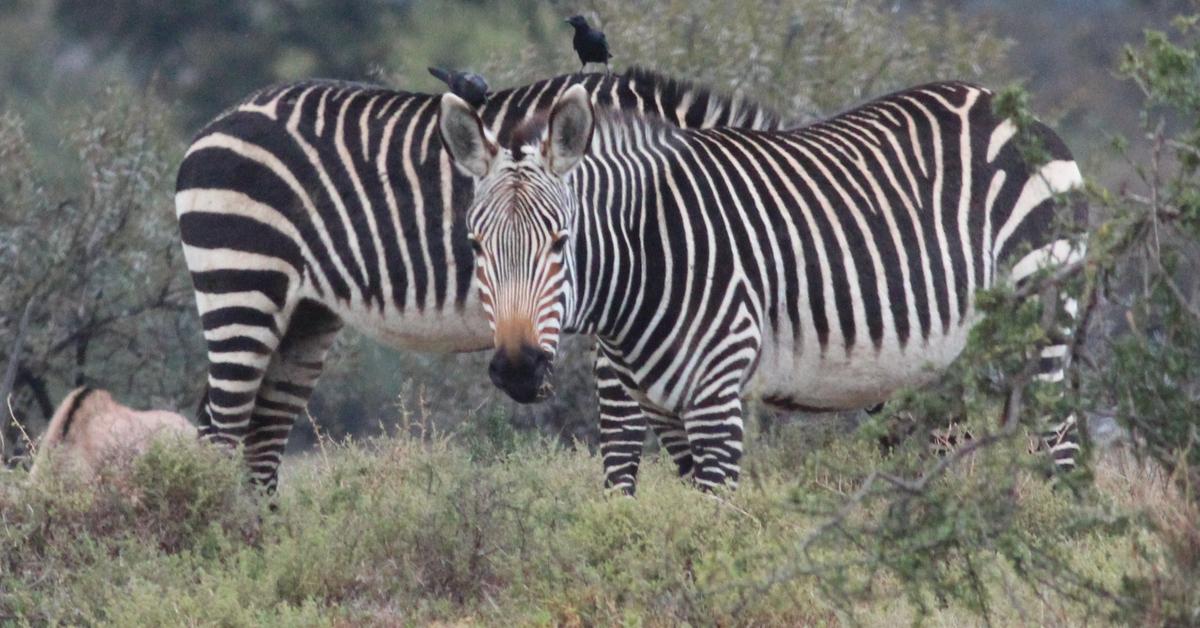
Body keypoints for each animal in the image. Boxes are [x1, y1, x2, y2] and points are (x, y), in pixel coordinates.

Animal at [174, 68, 782, 492]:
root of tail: (217, 122)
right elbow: (627, 437)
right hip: (241, 280)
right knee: (220, 431)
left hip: (304, 313)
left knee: (262, 436)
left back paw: (262, 551)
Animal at [439, 81, 1089, 494]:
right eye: (475, 245)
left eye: (560, 241)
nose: (518, 369)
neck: (645, 258)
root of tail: (1008, 107)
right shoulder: (640, 406)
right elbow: (630, 505)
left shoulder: (715, 396)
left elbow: (715, 519)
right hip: (945, 364)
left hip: (1040, 321)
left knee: (1062, 447)